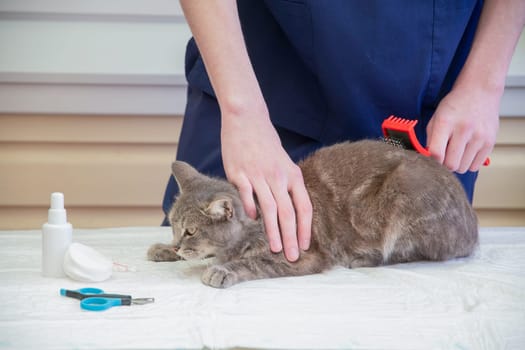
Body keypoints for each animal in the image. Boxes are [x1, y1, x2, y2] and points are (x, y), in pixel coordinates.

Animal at [147, 139, 478, 288]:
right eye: (174, 227)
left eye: (191, 231)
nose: (177, 243)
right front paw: (163, 249)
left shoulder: (300, 255)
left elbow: (254, 262)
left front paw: (223, 269)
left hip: (404, 196)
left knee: (410, 252)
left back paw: (362, 258)